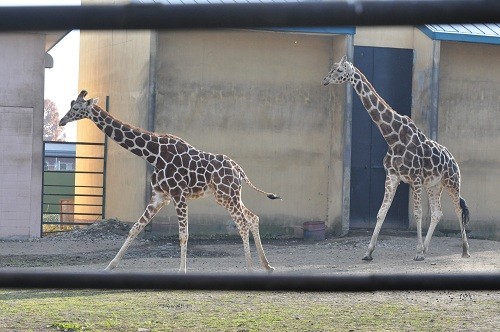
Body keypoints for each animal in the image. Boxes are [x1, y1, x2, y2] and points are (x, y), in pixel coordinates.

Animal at [58, 90, 282, 272]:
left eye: (76, 108)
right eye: (70, 105)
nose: (61, 121)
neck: (153, 154)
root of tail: (239, 170)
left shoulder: (178, 194)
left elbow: (183, 234)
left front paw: (182, 271)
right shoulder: (159, 196)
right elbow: (135, 229)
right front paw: (109, 266)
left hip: (226, 195)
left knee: (243, 224)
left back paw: (250, 269)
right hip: (229, 195)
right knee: (252, 218)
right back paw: (267, 266)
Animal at [322, 55, 470, 260]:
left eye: (339, 70)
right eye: (332, 68)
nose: (325, 80)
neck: (393, 137)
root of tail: (454, 161)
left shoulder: (415, 178)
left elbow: (417, 213)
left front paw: (417, 253)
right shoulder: (392, 176)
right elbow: (381, 213)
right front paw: (368, 252)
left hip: (452, 183)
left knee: (458, 210)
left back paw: (464, 250)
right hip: (434, 186)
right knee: (437, 213)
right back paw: (426, 248)